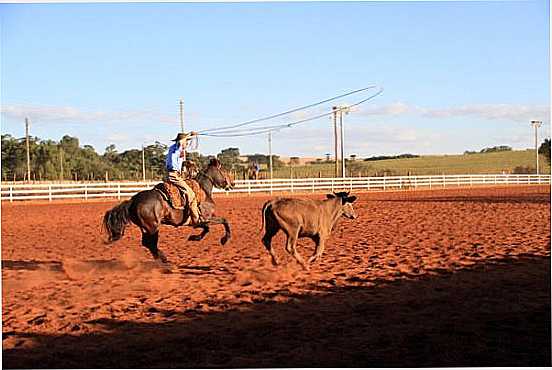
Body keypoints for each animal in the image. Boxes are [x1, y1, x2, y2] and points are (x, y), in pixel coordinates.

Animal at [102, 159, 234, 264]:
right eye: (224, 171)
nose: (232, 183)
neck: (203, 190)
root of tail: (133, 200)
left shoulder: (200, 221)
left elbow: (207, 228)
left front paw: (194, 238)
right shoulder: (204, 218)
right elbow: (224, 221)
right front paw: (224, 239)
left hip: (145, 228)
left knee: (147, 243)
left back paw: (161, 259)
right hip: (153, 227)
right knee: (151, 244)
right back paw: (164, 260)